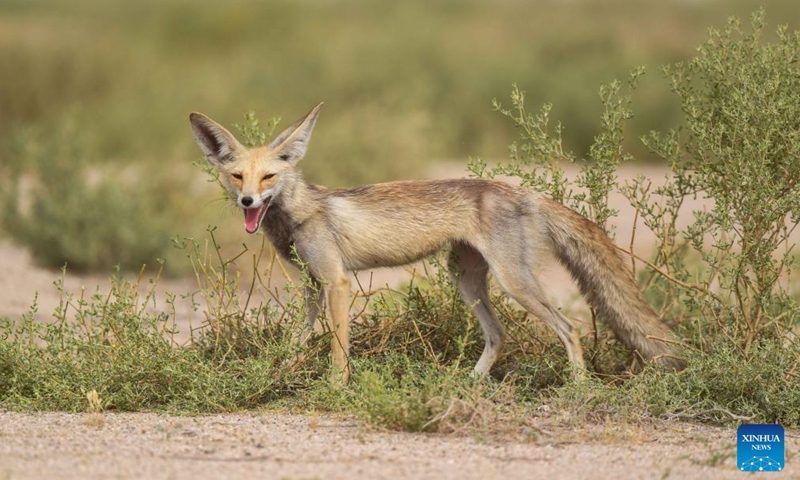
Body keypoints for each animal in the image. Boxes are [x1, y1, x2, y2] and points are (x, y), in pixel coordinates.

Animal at [189, 102, 684, 382]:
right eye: (238, 176)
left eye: (269, 176)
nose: (248, 200)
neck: (301, 214)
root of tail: (525, 192)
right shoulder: (313, 288)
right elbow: (296, 341)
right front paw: (276, 373)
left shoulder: (337, 283)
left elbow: (338, 350)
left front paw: (337, 389)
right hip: (467, 282)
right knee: (499, 335)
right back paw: (468, 386)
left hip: (515, 285)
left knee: (570, 329)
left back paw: (578, 392)